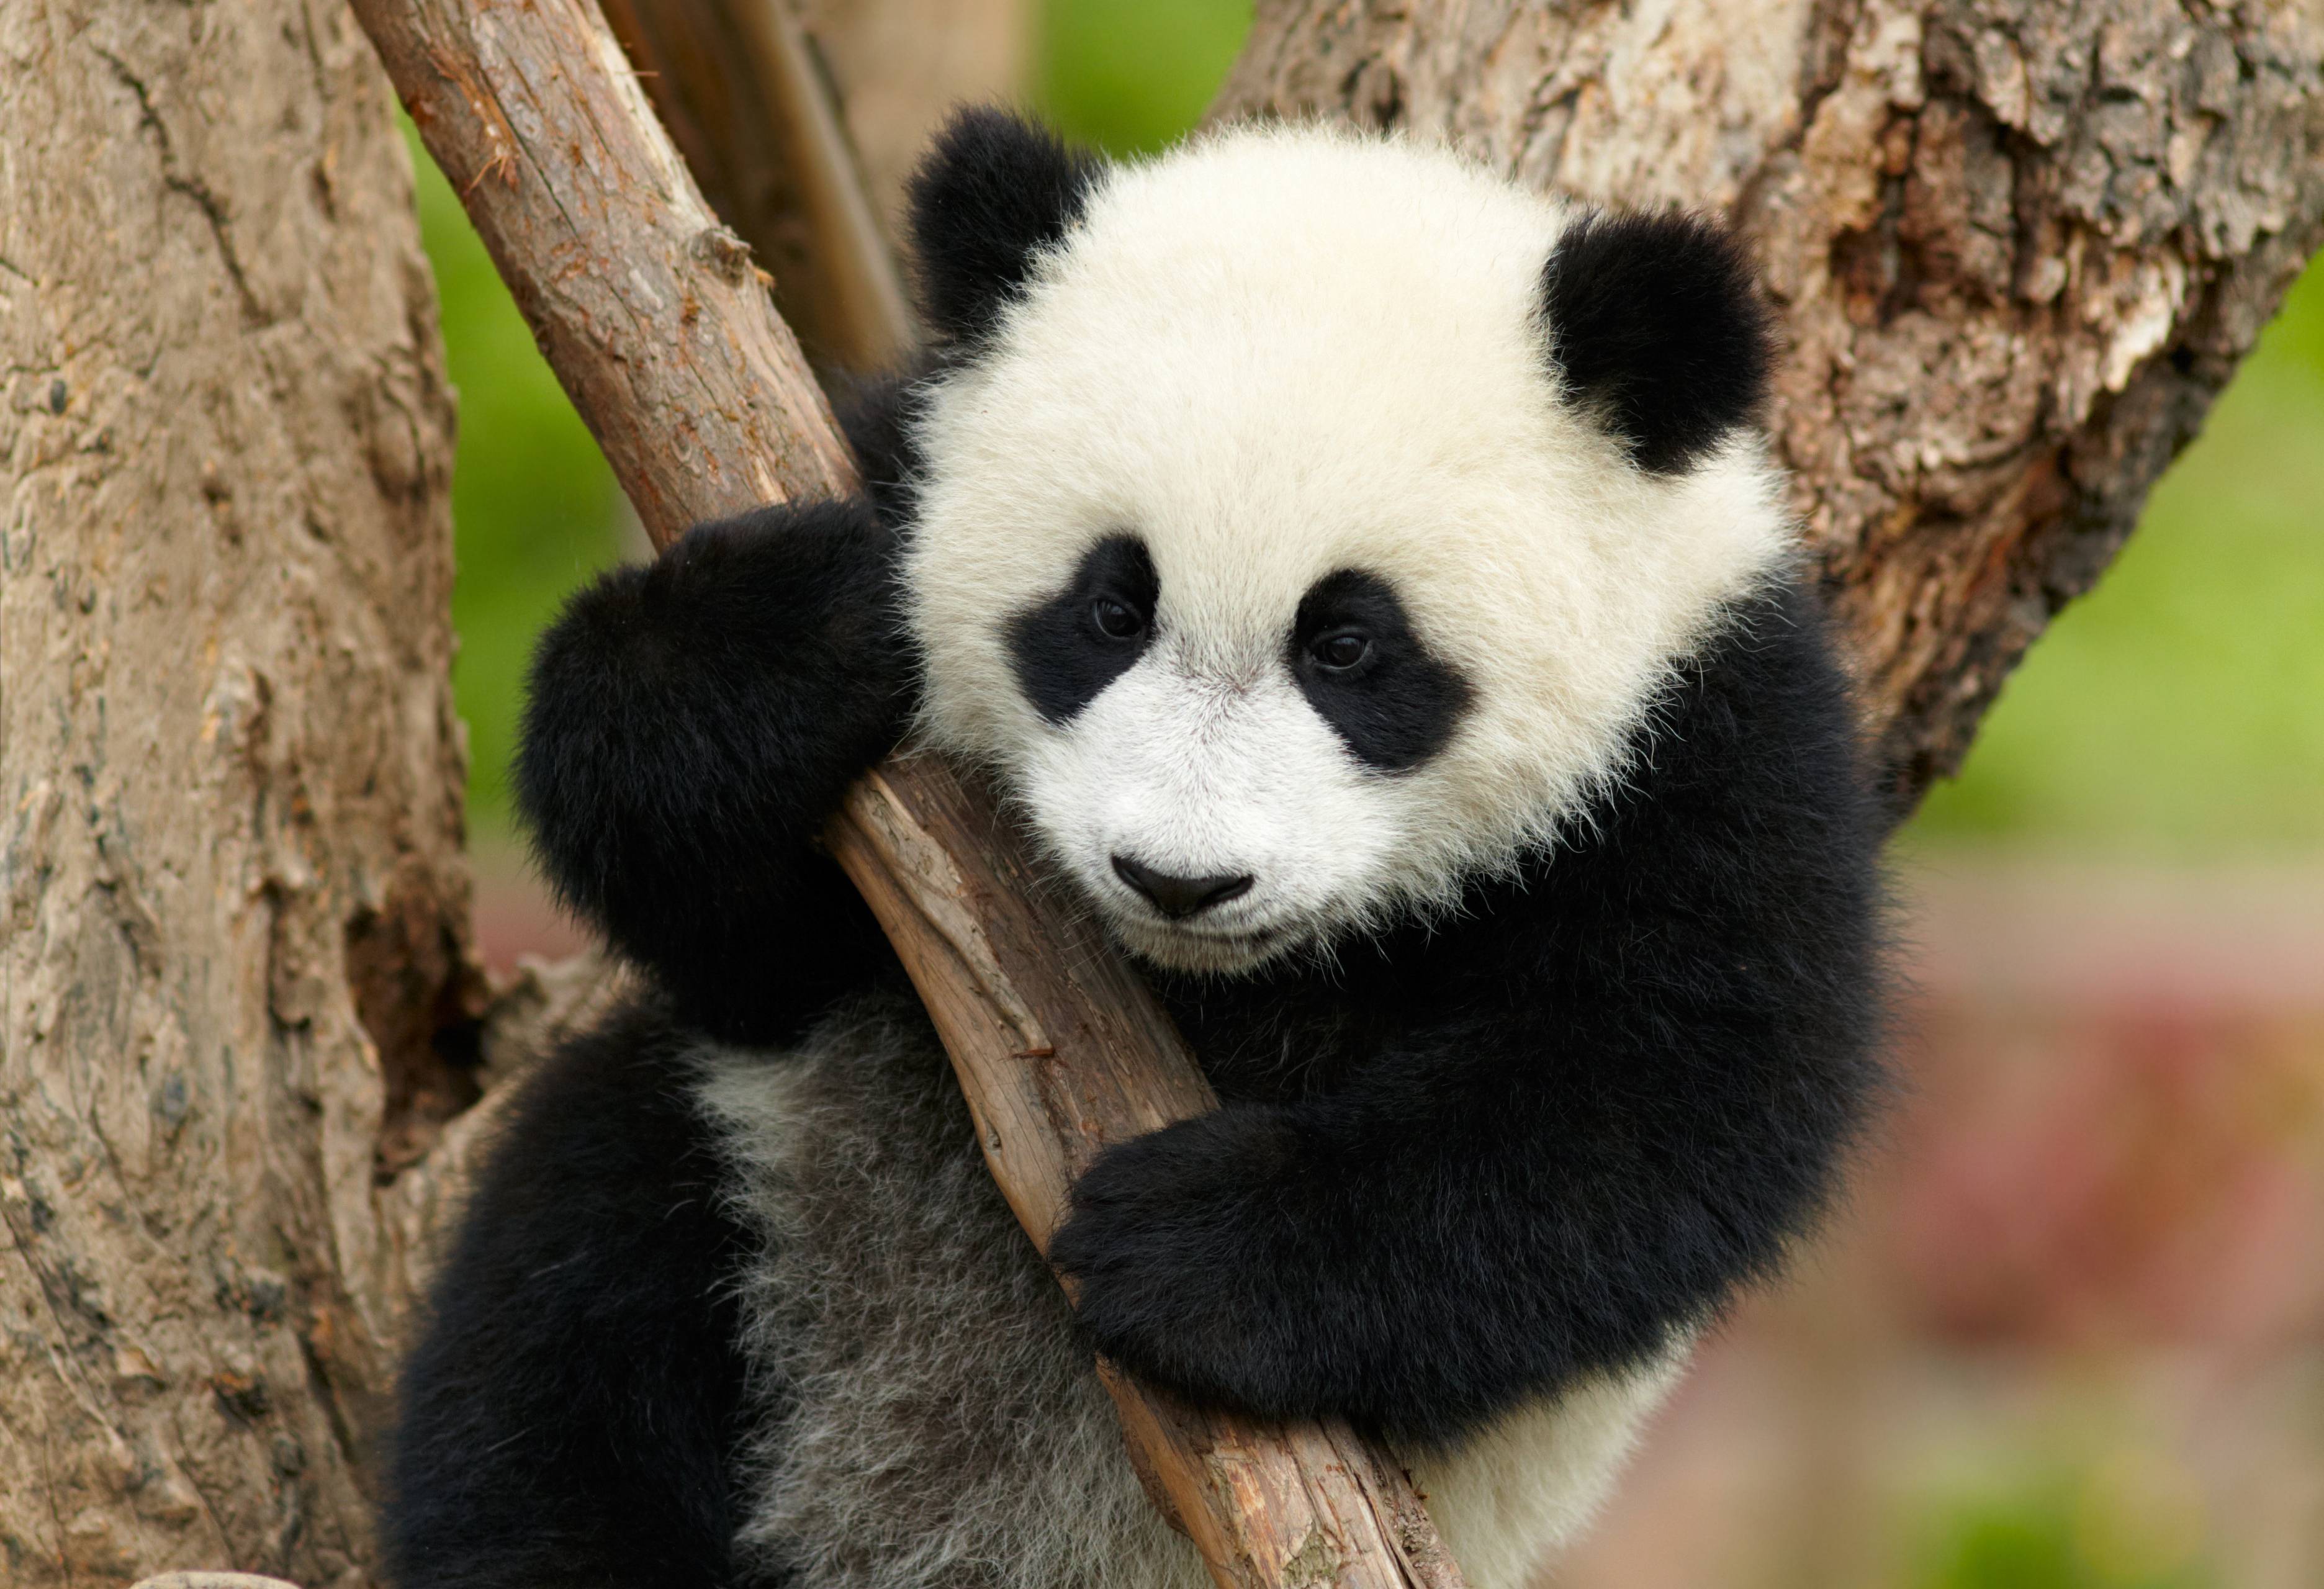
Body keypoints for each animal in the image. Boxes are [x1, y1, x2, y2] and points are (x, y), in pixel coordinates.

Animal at [384, 110, 1885, 1589]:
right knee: (563, 1343)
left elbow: (1667, 1097)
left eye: (1350, 646)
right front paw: (759, 642)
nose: (1181, 879)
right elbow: (736, 937)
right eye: (1111, 608)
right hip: (755, 1183)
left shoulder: (1711, 737)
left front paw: (1194, 1248)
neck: (1230, 982)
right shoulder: (888, 480)